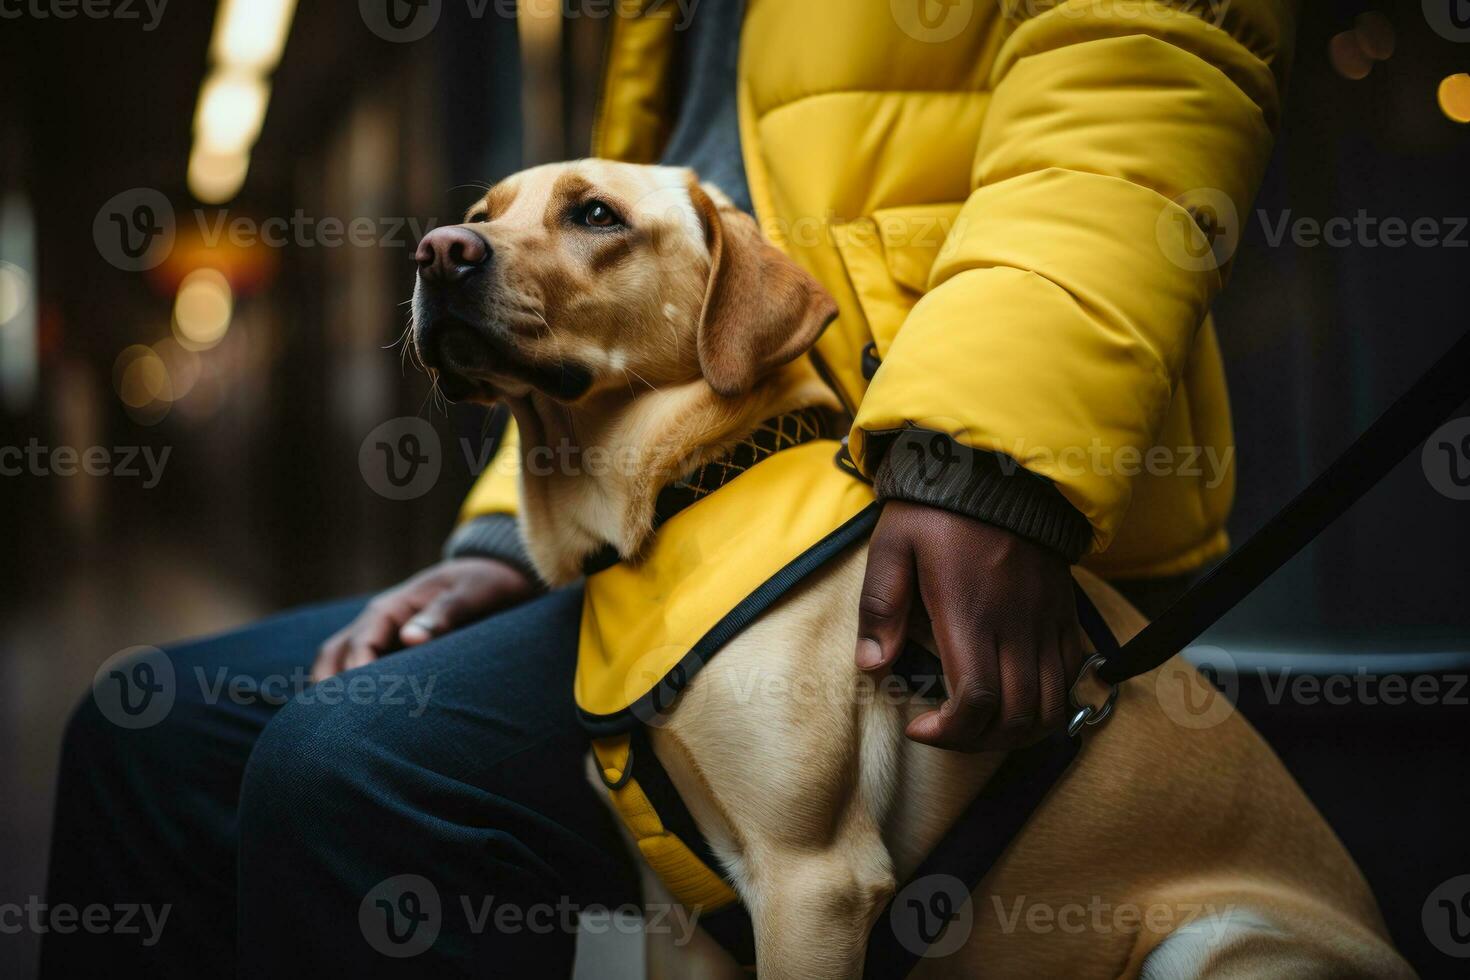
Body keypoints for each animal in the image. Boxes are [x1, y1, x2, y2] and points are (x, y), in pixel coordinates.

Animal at [411, 157, 1411, 975]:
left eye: (596, 215)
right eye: (481, 212)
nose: (435, 251)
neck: (684, 493)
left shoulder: (813, 880)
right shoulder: (678, 917)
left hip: (1212, 939)